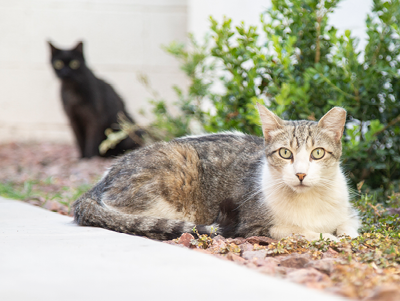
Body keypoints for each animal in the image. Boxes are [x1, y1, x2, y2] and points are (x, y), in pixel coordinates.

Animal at [73, 104, 360, 240]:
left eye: (318, 153)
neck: (309, 202)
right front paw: (326, 237)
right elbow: (293, 229)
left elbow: (350, 224)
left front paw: (344, 234)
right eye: (285, 153)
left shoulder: (349, 212)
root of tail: (98, 184)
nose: (300, 174)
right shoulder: (254, 226)